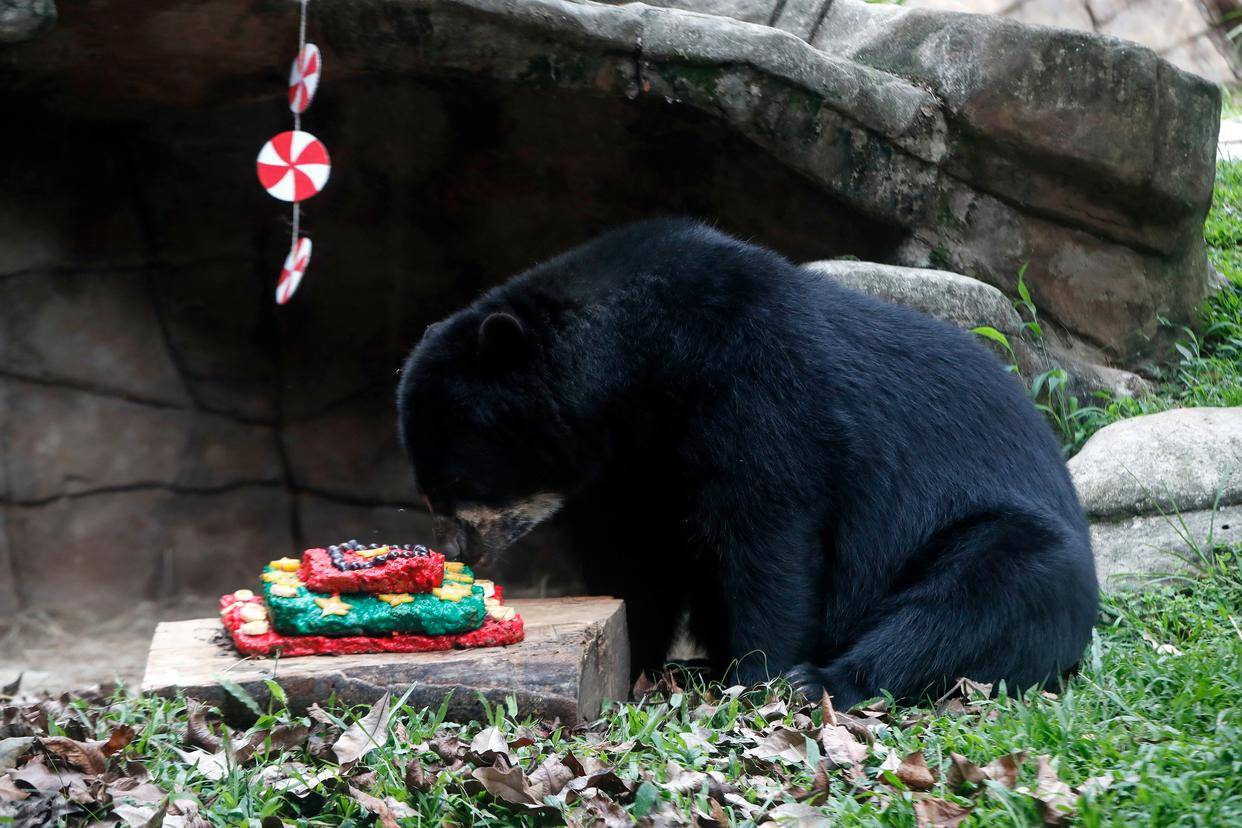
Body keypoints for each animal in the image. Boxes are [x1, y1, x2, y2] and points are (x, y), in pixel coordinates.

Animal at [397, 218, 1097, 705]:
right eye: (428, 490)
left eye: (458, 481)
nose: (455, 552)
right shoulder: (627, 466)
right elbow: (638, 558)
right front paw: (636, 657)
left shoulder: (761, 390)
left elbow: (768, 537)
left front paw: (756, 674)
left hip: (998, 535)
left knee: (975, 600)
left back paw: (821, 681)